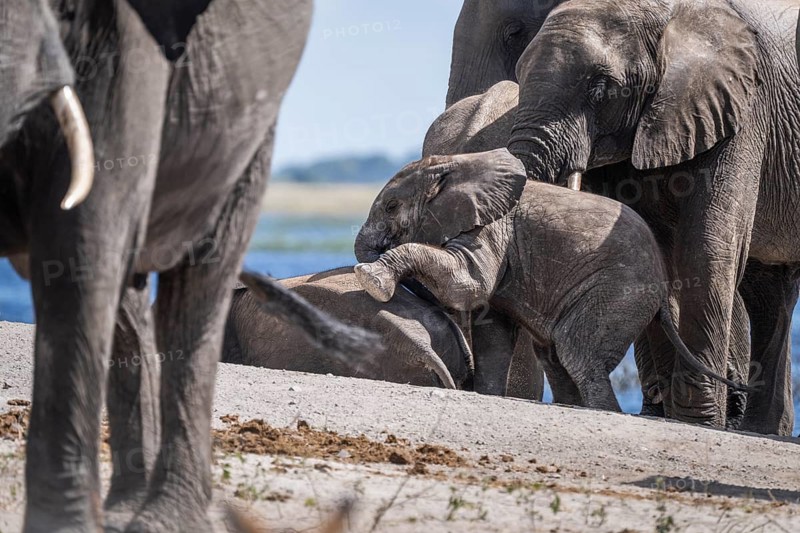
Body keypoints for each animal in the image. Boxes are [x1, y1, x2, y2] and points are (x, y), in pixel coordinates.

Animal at [353, 149, 744, 411]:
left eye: (391, 207)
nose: (363, 258)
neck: (457, 163)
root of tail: (663, 287)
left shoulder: (493, 228)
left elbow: (468, 284)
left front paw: (371, 279)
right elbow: (492, 327)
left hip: (619, 292)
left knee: (579, 354)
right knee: (555, 357)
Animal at [507, 0, 799, 434]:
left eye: (600, 89)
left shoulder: (742, 109)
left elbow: (706, 244)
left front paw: (698, 421)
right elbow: (656, 251)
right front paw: (675, 413)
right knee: (768, 288)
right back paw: (758, 429)